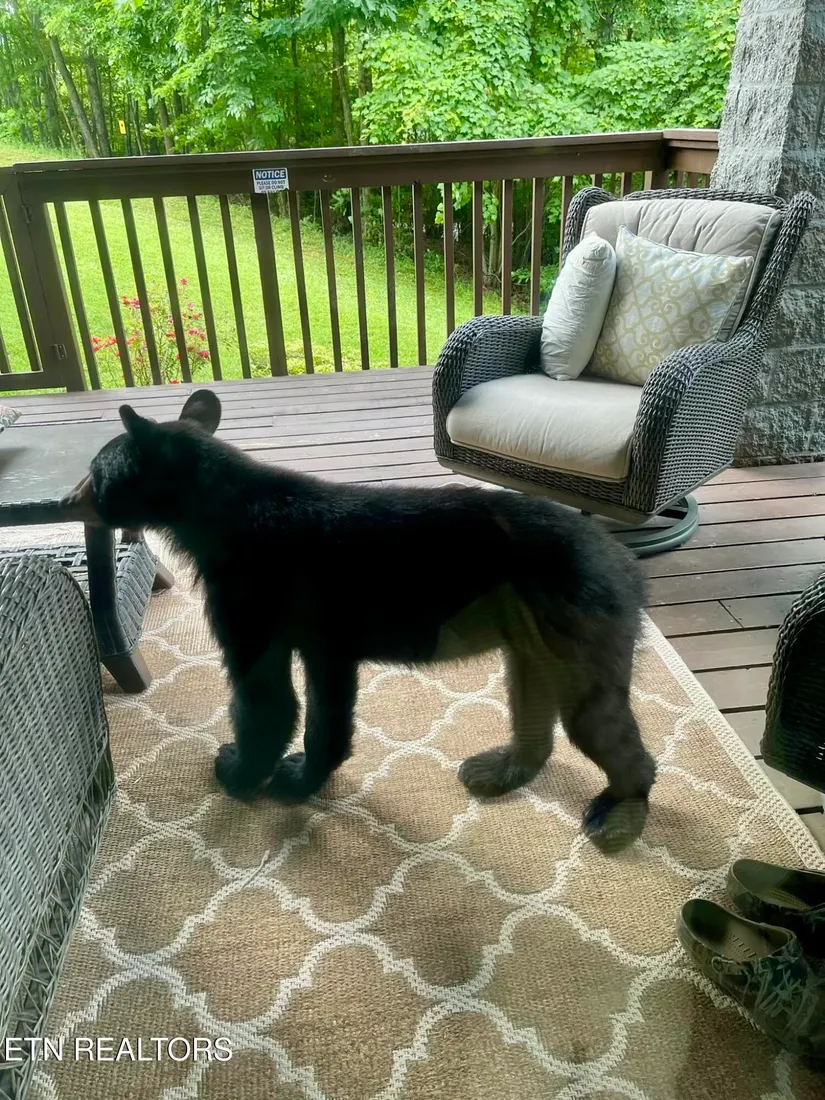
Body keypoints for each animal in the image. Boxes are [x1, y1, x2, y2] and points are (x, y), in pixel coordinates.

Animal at [65, 388, 655, 853]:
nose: (68, 500)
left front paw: (241, 772)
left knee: (610, 736)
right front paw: (305, 778)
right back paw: (502, 769)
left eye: (97, 472)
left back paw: (620, 815)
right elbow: (327, 719)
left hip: (583, 639)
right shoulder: (329, 648)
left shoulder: (251, 613)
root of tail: (625, 562)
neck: (217, 510)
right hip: (532, 648)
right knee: (534, 709)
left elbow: (267, 705)